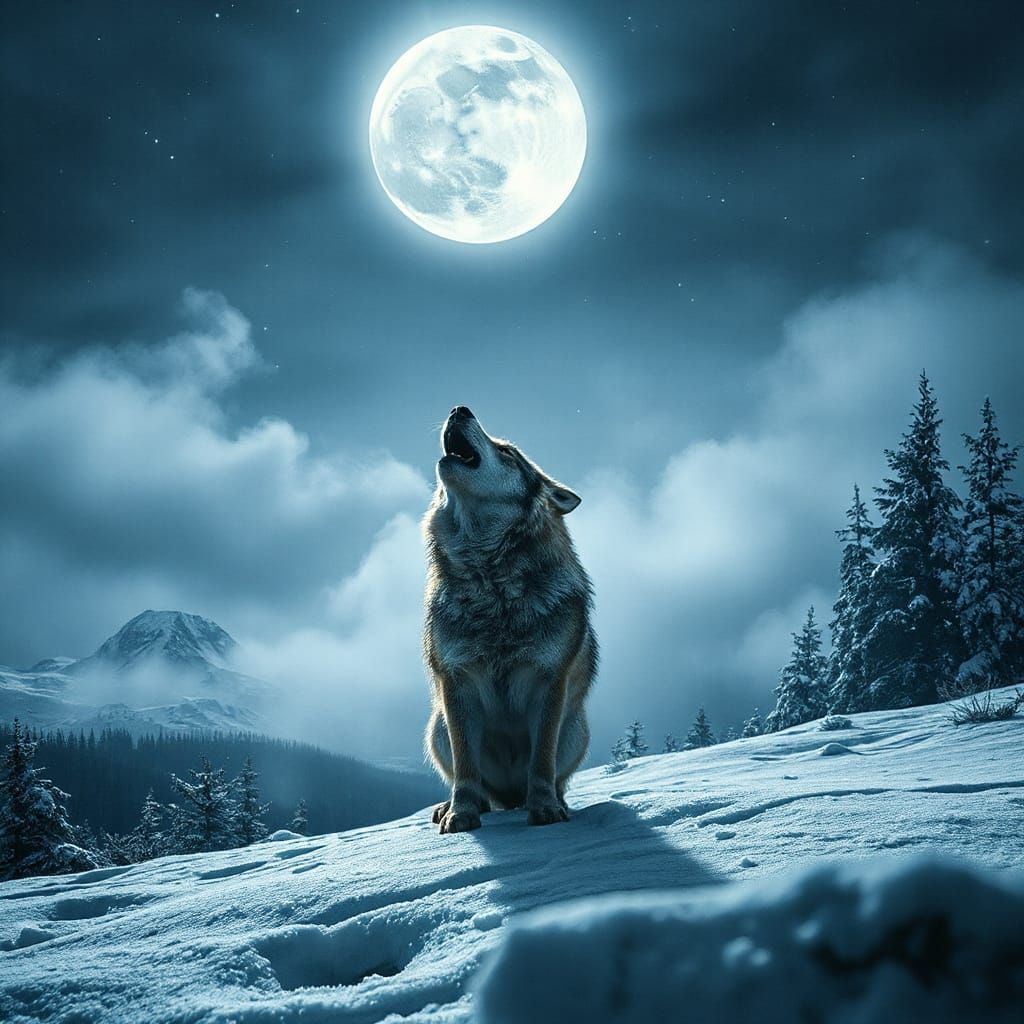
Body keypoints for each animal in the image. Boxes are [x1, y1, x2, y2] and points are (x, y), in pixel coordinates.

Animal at [422, 406, 598, 833]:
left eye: (508, 453)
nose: (459, 409)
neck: (494, 589)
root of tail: (510, 797)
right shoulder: (458, 681)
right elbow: (466, 768)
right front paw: (461, 814)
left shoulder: (549, 682)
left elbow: (542, 762)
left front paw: (546, 809)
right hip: (437, 727)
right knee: (476, 785)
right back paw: (452, 806)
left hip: (576, 729)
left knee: (554, 776)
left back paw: (554, 800)